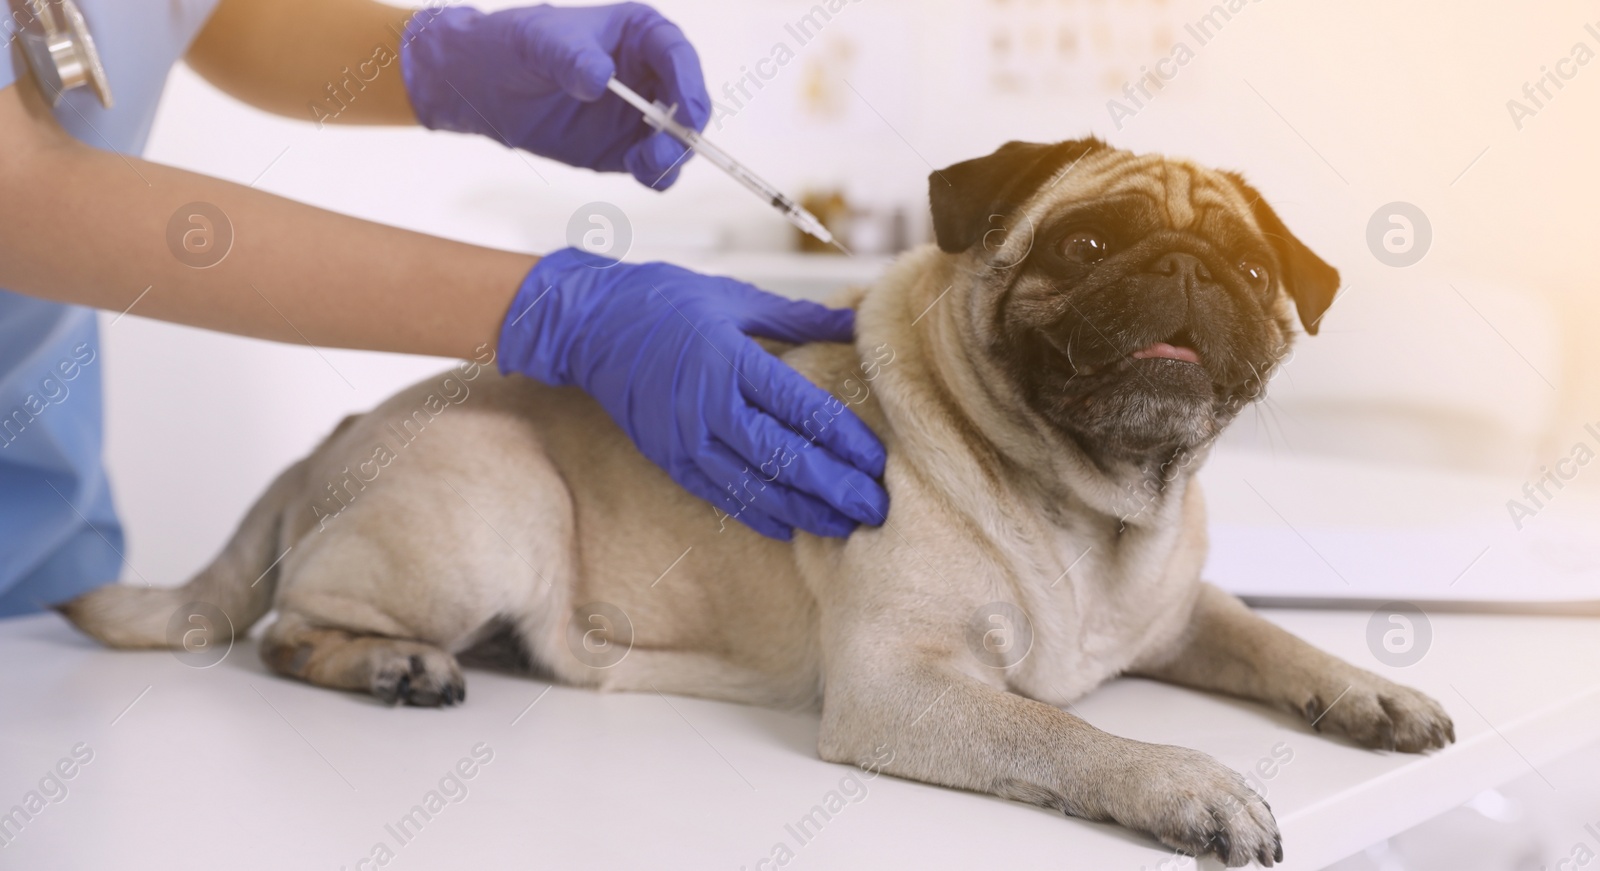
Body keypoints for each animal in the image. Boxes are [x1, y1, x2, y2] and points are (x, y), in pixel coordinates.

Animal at [68, 139, 1459, 864]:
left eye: (1249, 272)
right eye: (1084, 247)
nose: (1185, 271)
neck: (1094, 507)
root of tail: (333, 439)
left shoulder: (1180, 613)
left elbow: (1270, 635)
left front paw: (1366, 690)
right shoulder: (908, 685)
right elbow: (1064, 732)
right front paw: (1182, 781)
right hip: (492, 508)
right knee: (285, 627)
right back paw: (391, 665)